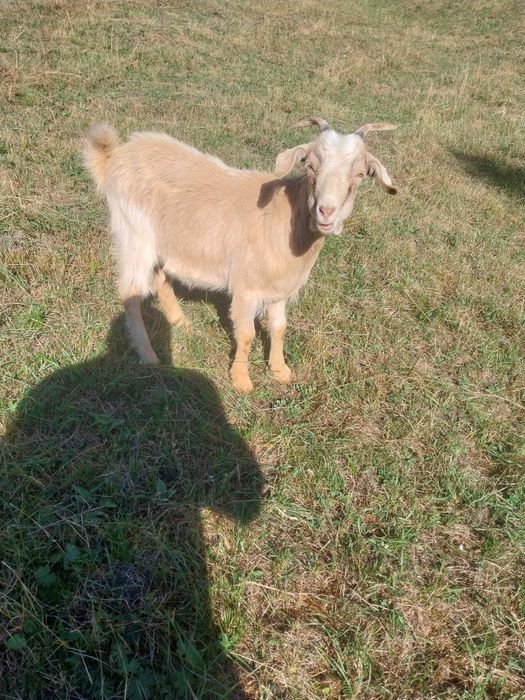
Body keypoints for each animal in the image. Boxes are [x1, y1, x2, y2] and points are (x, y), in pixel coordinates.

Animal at [84, 117, 397, 393]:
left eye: (360, 175)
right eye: (310, 166)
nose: (326, 212)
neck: (285, 218)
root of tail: (116, 155)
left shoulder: (279, 288)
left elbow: (279, 327)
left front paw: (279, 370)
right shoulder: (245, 287)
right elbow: (246, 335)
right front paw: (241, 380)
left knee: (160, 276)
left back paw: (179, 321)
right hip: (134, 235)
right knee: (131, 292)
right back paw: (149, 356)